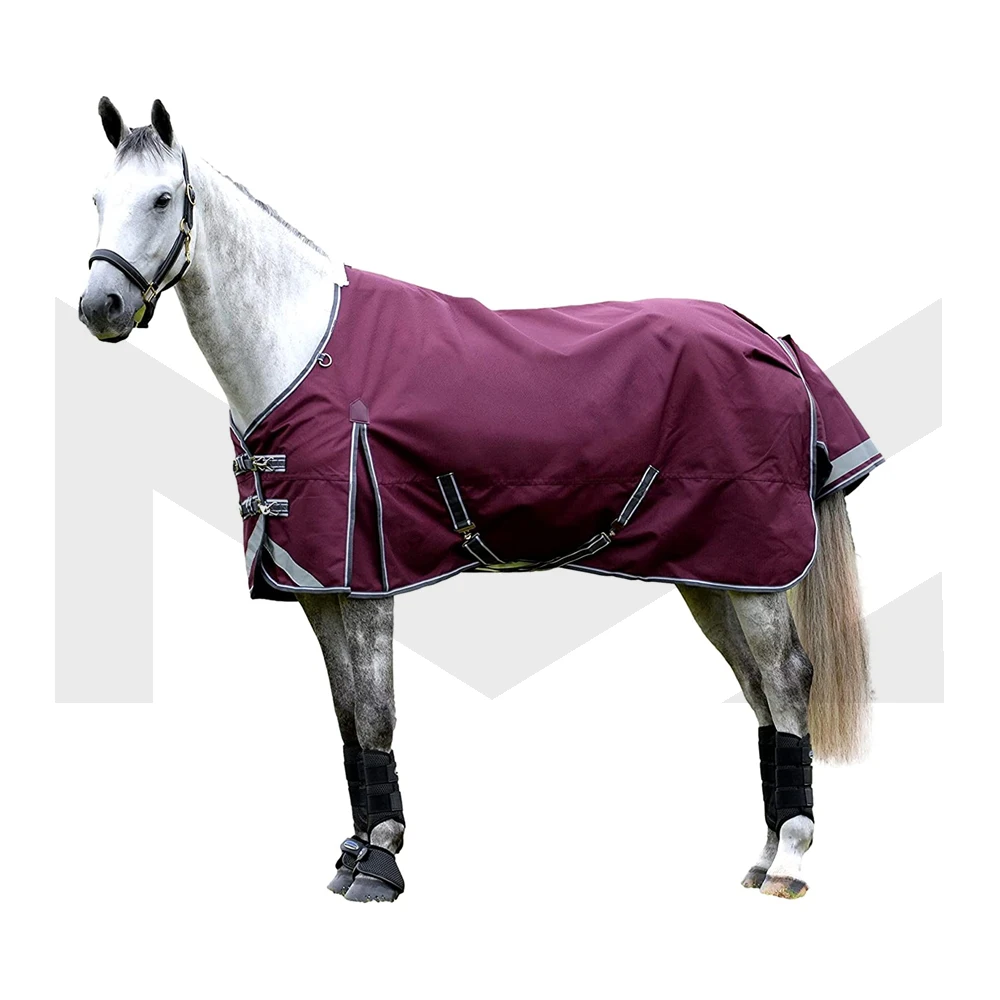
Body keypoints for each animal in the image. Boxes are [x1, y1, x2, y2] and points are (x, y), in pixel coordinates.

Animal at [78, 98, 878, 903]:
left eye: (163, 199)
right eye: (96, 199)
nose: (99, 306)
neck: (302, 350)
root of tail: (768, 339)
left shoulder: (367, 579)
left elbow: (376, 713)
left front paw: (381, 865)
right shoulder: (319, 586)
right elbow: (346, 717)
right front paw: (353, 853)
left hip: (754, 570)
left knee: (787, 679)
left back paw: (791, 860)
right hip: (712, 572)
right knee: (757, 690)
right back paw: (763, 854)